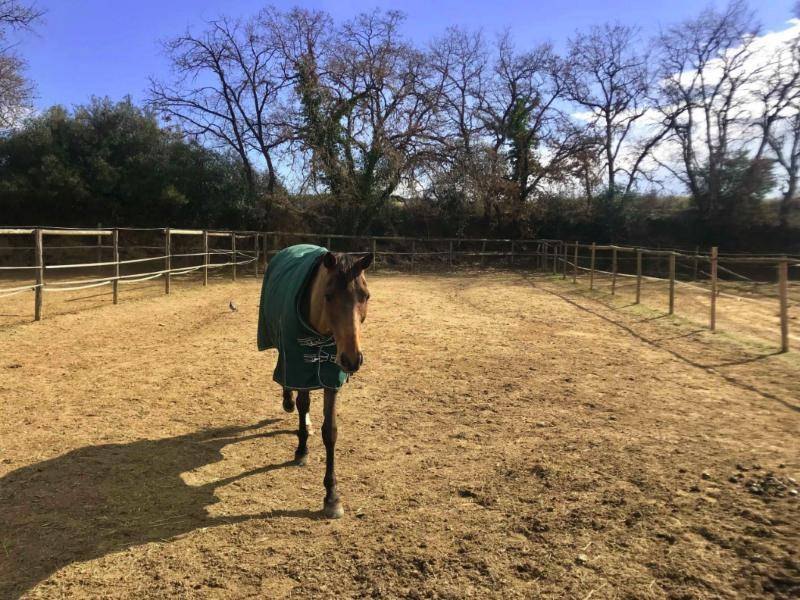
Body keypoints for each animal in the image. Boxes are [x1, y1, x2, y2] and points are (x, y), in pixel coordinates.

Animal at [257, 244, 372, 519]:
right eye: (328, 296)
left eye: (366, 296)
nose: (352, 359)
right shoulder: (299, 367)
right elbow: (302, 403)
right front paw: (301, 450)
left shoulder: (332, 378)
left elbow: (330, 432)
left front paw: (332, 497)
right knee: (286, 381)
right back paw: (288, 403)